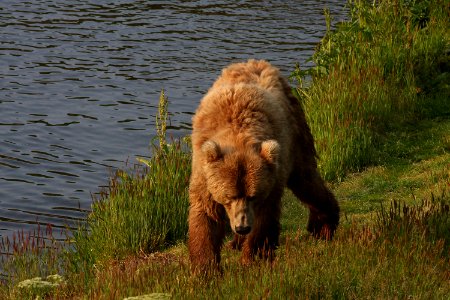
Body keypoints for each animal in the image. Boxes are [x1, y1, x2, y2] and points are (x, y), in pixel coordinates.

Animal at [188, 59, 340, 274]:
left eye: (253, 196)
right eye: (229, 196)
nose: (242, 227)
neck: (237, 135)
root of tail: (256, 62)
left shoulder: (271, 179)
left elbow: (264, 219)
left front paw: (253, 258)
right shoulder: (204, 172)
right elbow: (206, 215)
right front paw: (206, 267)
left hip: (296, 134)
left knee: (306, 181)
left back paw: (324, 224)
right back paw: (236, 242)